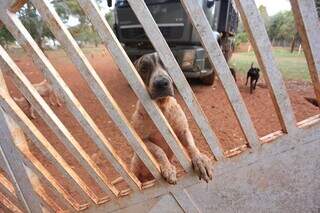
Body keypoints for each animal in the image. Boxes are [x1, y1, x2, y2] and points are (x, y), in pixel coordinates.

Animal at [130, 52, 212, 184]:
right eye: (144, 68)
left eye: (167, 64)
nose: (161, 83)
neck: (162, 107)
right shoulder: (143, 140)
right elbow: (159, 150)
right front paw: (168, 168)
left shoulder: (183, 131)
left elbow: (191, 146)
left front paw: (200, 160)